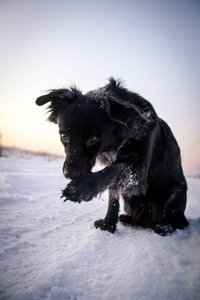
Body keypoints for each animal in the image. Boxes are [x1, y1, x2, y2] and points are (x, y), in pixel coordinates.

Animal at [36, 77, 189, 234]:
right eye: (64, 136)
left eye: (93, 139)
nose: (69, 174)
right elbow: (113, 194)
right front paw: (108, 224)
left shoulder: (138, 171)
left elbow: (113, 171)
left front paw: (79, 189)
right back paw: (130, 219)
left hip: (176, 192)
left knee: (174, 220)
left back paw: (163, 226)